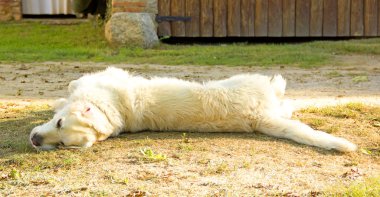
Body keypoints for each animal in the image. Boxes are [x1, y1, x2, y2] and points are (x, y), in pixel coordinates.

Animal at [29, 67, 356, 152]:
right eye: (60, 145)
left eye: (59, 125)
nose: (35, 140)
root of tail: (258, 118)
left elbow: (71, 87)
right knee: (284, 105)